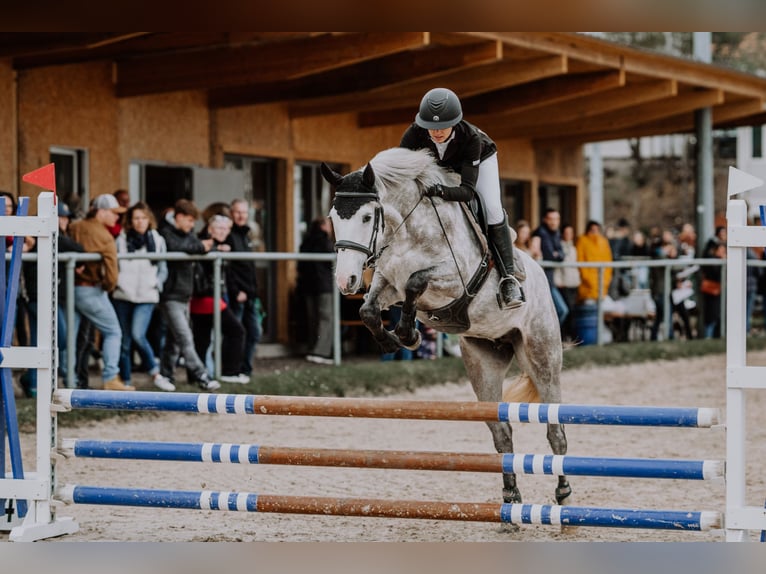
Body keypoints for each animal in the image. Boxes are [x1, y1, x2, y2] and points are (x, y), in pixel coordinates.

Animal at [320, 148, 572, 508]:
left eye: (368, 218)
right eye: (333, 217)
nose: (346, 280)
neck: (408, 230)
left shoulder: (454, 280)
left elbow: (416, 281)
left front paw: (408, 334)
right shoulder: (387, 282)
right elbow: (368, 309)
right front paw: (397, 340)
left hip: (542, 356)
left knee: (554, 429)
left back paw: (563, 491)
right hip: (483, 364)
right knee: (502, 432)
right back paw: (510, 495)